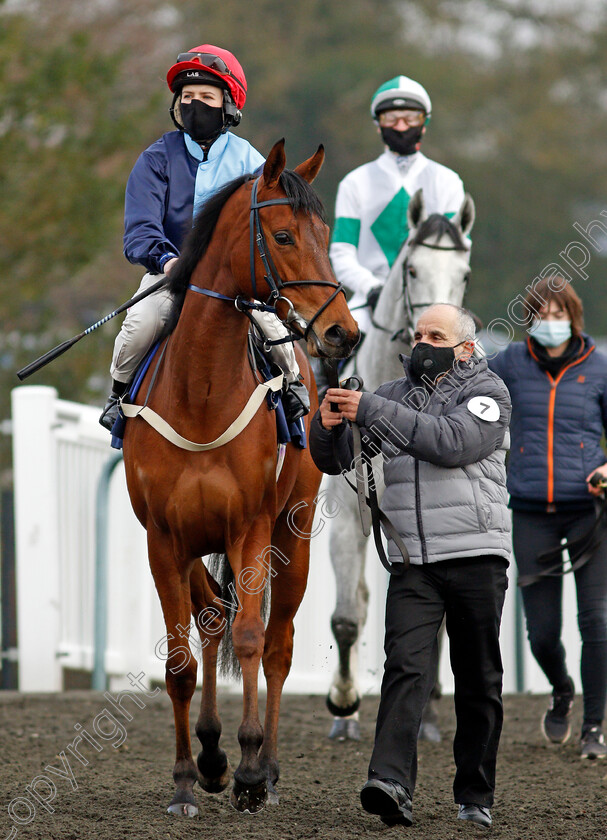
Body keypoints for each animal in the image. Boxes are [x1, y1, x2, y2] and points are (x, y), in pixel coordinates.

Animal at [123, 141, 360, 816]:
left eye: (327, 235)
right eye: (283, 235)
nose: (344, 331)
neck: (200, 393)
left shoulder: (249, 528)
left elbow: (252, 638)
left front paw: (252, 771)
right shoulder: (164, 540)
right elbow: (180, 660)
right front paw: (186, 778)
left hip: (293, 534)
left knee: (277, 645)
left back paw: (267, 768)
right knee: (209, 619)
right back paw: (209, 754)